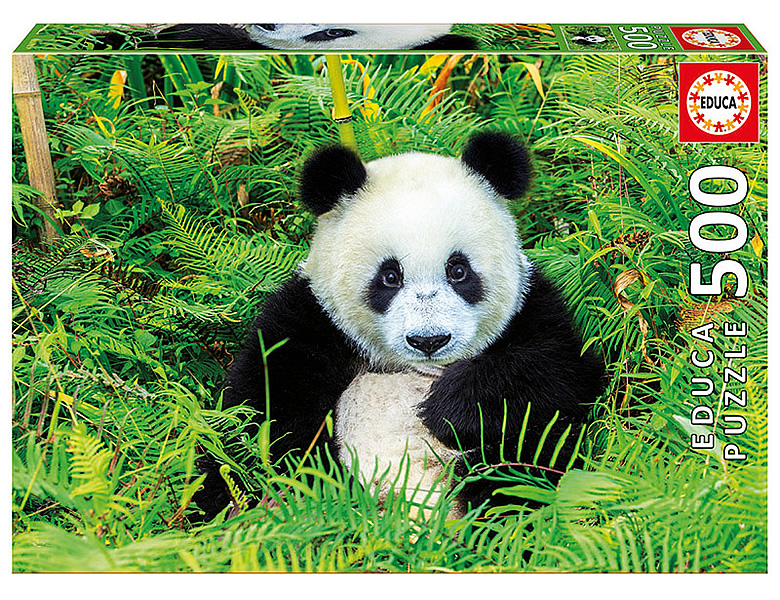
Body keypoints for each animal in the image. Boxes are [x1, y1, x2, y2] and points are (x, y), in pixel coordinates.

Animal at [196, 132, 604, 519]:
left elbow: (560, 374)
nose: (429, 340)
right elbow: (260, 413)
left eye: (458, 271)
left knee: (521, 465)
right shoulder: (311, 318)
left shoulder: (531, 308)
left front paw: (448, 407)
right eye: (390, 276)